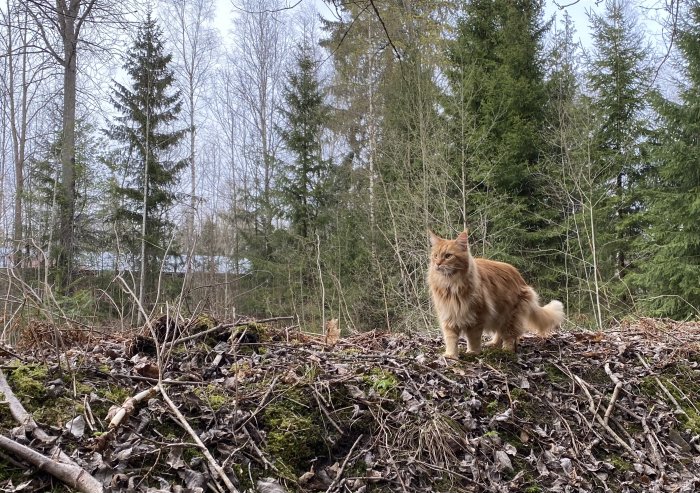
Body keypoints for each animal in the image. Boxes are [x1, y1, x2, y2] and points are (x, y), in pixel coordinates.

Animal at [426, 227, 564, 358]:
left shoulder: (476, 318)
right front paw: (451, 355)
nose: (437, 264)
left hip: (510, 315)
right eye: (435, 256)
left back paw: (506, 351)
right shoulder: (448, 315)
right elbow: (451, 339)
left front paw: (472, 352)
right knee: (500, 332)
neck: (451, 285)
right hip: (499, 313)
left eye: (448, 256)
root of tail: (520, 278)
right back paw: (493, 344)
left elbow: (473, 338)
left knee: (509, 335)